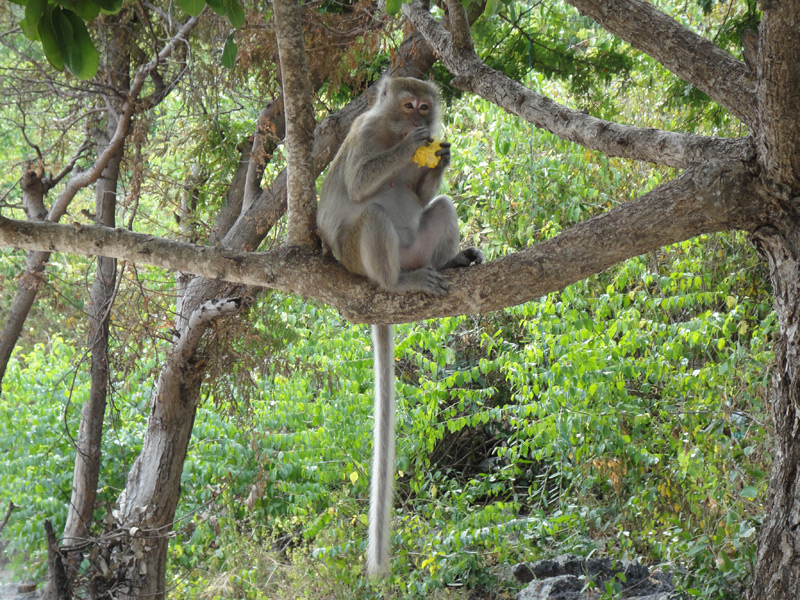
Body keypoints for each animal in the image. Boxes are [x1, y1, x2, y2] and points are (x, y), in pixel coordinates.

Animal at [318, 76, 482, 576]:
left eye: (424, 106)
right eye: (407, 106)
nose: (418, 120)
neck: (390, 131)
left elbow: (425, 196)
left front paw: (439, 155)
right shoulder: (364, 135)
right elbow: (358, 181)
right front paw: (413, 146)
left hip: (418, 248)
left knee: (441, 207)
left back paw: (449, 261)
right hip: (357, 258)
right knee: (371, 216)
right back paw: (394, 282)